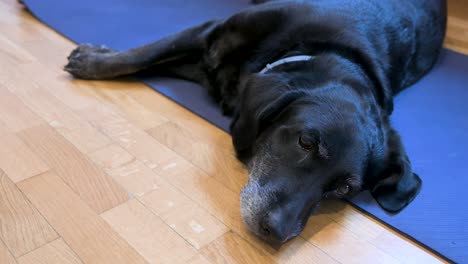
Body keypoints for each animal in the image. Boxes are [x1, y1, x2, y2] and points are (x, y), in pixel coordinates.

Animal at [65, 0, 446, 246]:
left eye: (343, 190)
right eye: (306, 142)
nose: (277, 235)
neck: (320, 48)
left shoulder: (212, 69)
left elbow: (151, 60)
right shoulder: (211, 32)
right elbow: (145, 54)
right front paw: (93, 61)